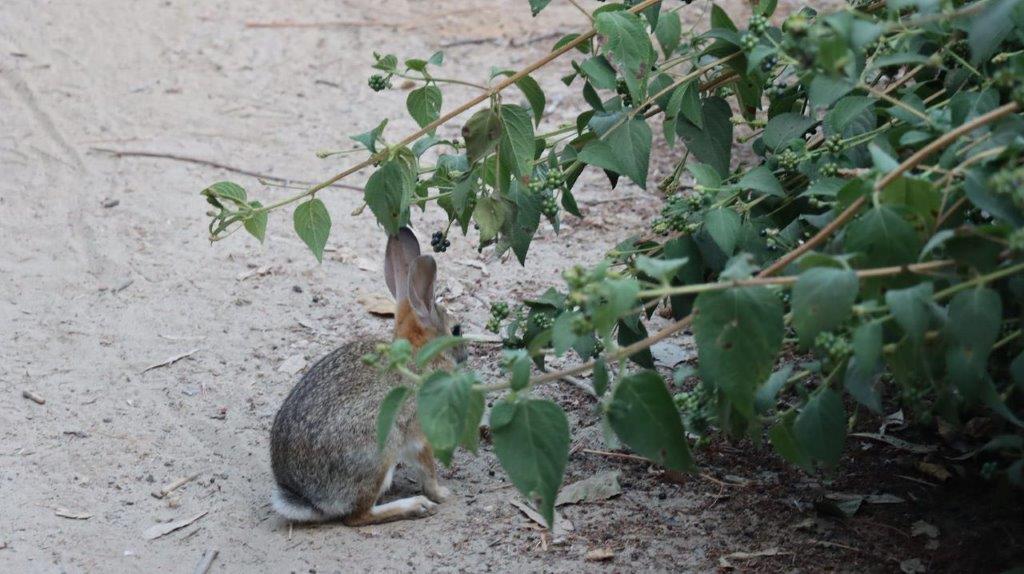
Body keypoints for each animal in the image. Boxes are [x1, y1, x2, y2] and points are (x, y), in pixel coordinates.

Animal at [268, 225, 468, 523]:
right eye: (456, 330)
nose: (465, 355)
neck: (419, 353)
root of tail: (310, 500)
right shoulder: (419, 435)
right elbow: (427, 469)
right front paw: (442, 494)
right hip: (379, 452)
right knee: (358, 516)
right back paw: (414, 506)